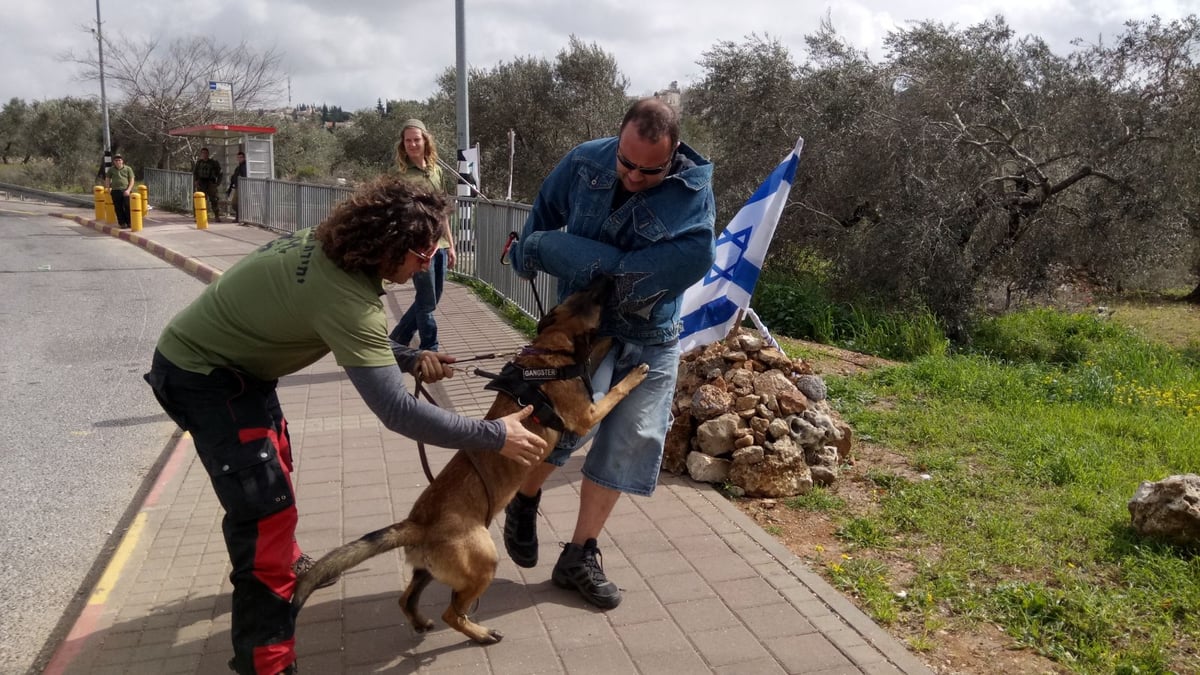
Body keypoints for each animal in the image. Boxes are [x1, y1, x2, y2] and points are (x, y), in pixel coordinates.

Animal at [290, 276, 648, 643]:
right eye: (595, 297)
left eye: (585, 293)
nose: (608, 276)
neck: (551, 352)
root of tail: (418, 524)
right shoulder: (586, 416)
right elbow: (615, 390)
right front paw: (635, 372)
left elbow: (599, 351)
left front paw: (614, 343)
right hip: (483, 562)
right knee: (451, 612)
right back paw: (480, 633)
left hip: (427, 570)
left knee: (407, 599)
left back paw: (421, 622)